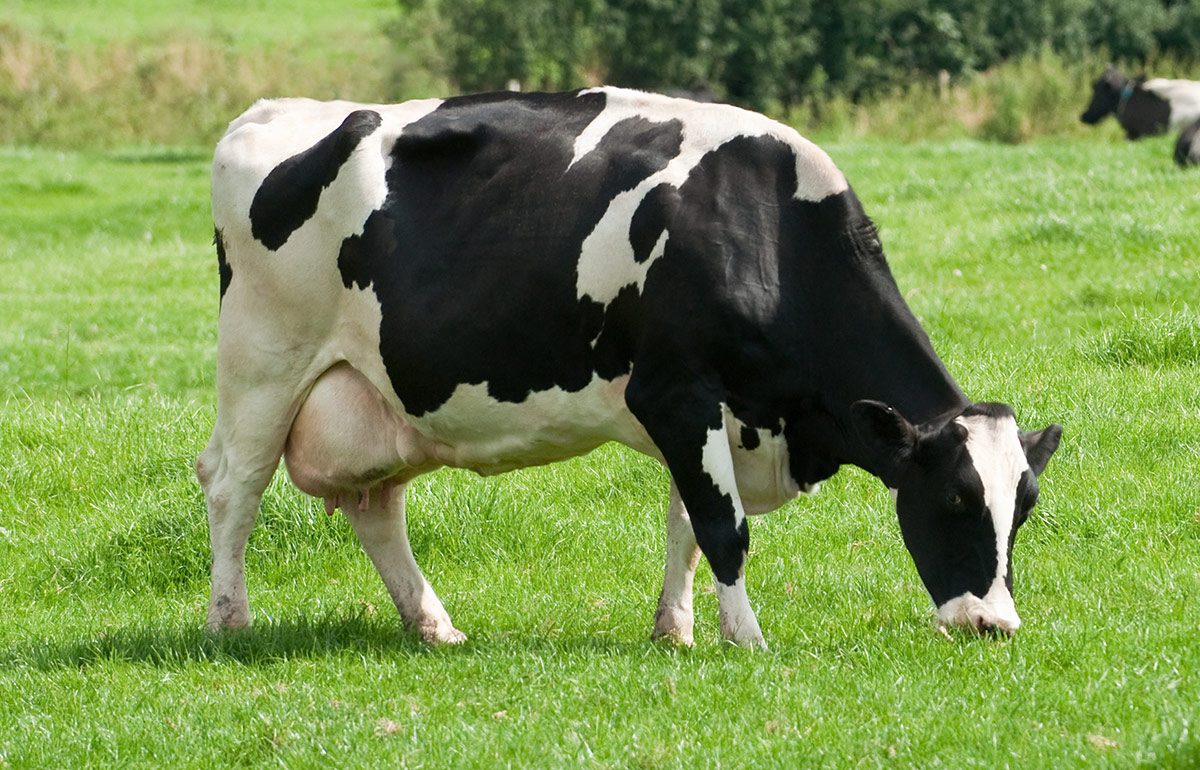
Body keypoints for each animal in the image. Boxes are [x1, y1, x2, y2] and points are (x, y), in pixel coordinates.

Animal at [197, 87, 1063, 649]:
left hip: (377, 396)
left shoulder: (712, 414)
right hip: (264, 359)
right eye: (953, 500)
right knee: (234, 483)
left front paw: (675, 629)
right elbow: (724, 526)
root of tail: (269, 111)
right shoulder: (674, 389)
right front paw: (746, 638)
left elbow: (687, 520)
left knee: (375, 508)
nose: (994, 624)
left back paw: (433, 625)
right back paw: (229, 620)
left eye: (1022, 509)